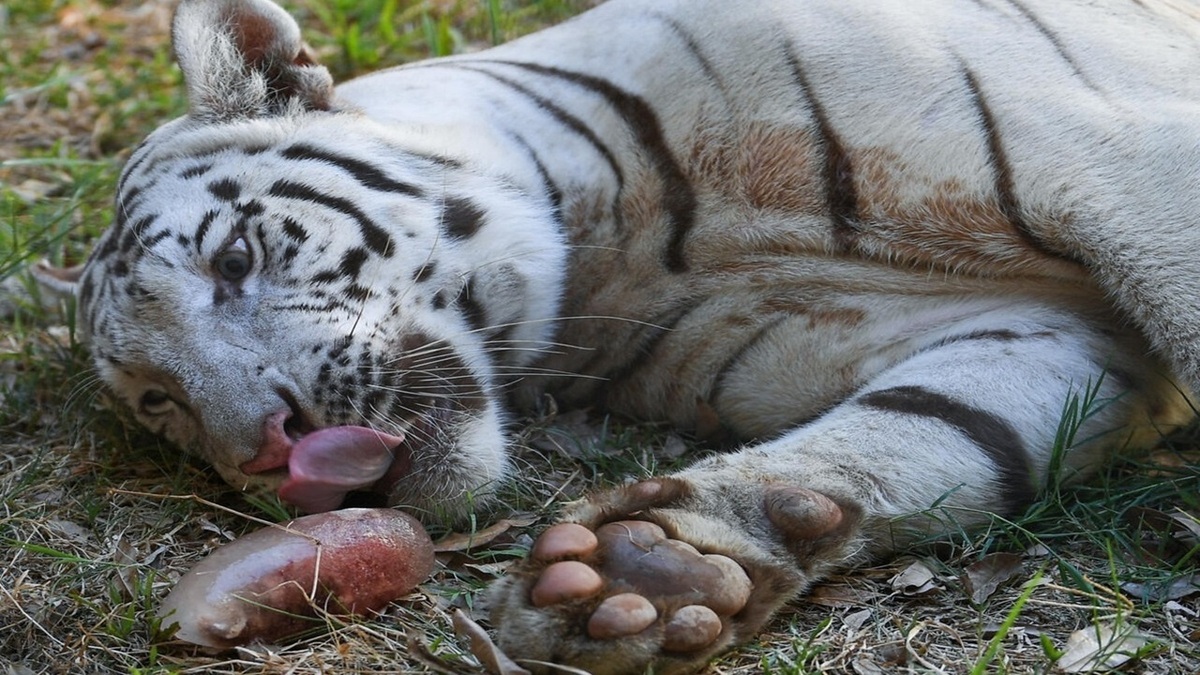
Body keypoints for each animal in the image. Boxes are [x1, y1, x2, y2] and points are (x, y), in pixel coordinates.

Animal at [51, 0, 1200, 667]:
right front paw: (653, 570)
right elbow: (926, 428)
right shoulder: (1042, 330)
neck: (623, 237)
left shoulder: (1124, 161)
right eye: (161, 406)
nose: (269, 451)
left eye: (233, 260)